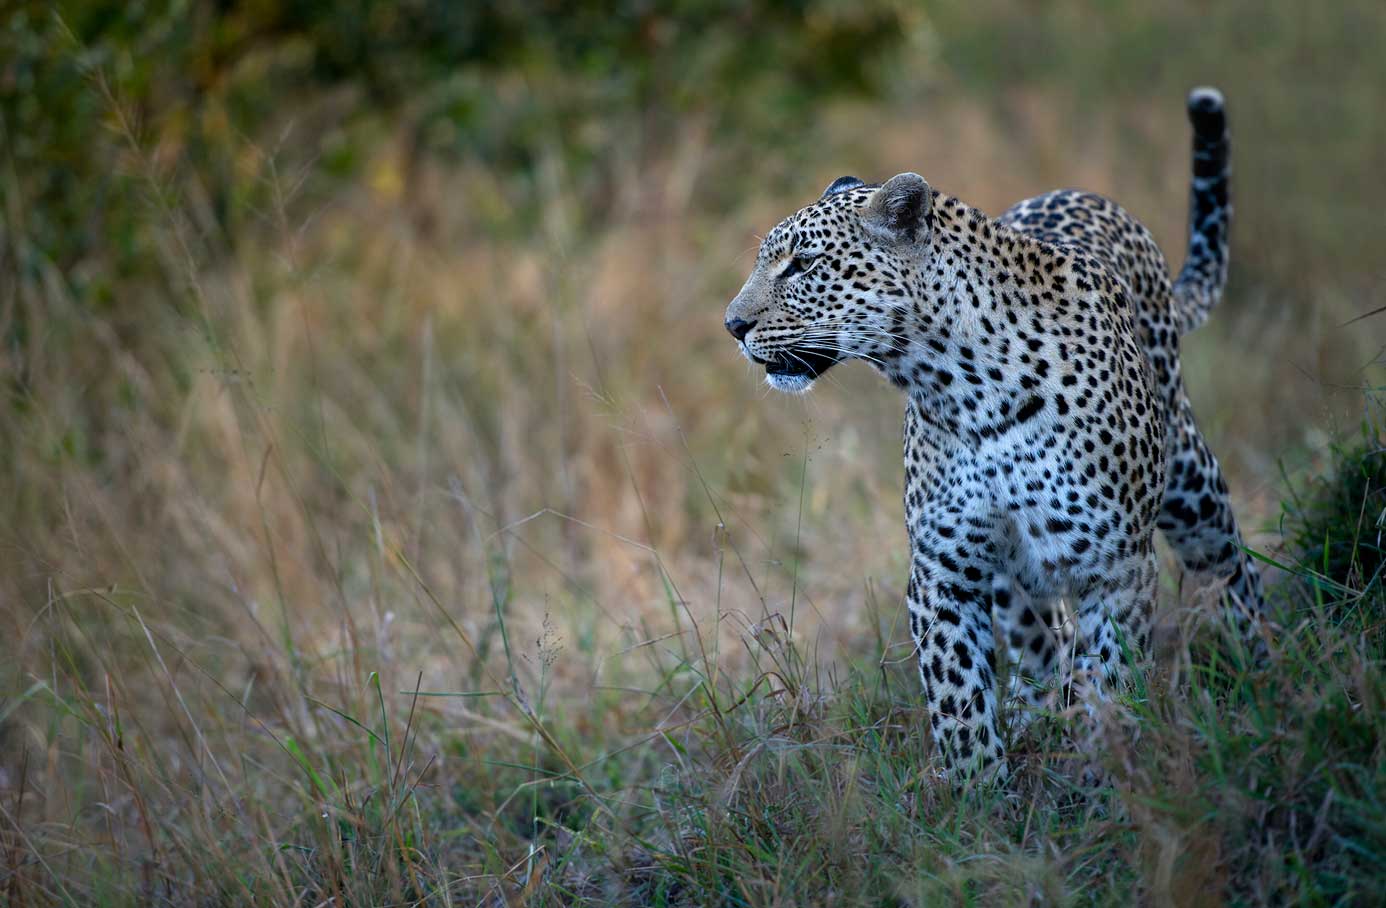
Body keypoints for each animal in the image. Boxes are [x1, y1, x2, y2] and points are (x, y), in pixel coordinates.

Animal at [723, 87, 1266, 776]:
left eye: (803, 265)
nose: (732, 325)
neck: (964, 388)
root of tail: (1087, 194)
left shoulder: (1116, 567)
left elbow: (1113, 681)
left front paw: (1105, 772)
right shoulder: (942, 571)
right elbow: (959, 703)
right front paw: (979, 792)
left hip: (1188, 482)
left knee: (1229, 566)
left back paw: (1265, 668)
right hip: (1013, 583)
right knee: (1044, 648)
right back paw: (1039, 715)